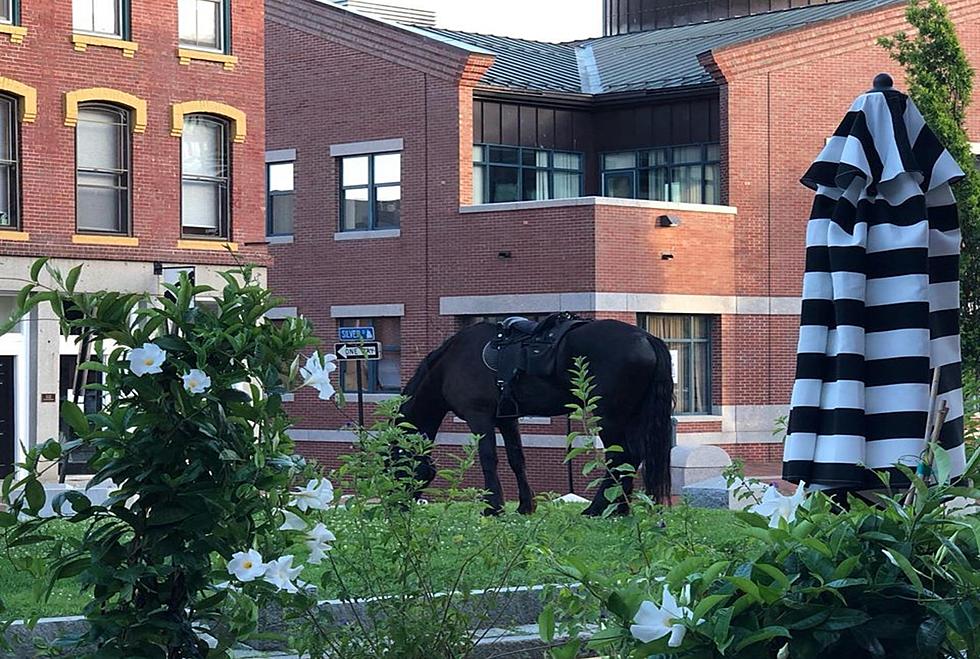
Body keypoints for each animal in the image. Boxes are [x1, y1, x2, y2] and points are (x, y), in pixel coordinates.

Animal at [398, 320, 672, 516]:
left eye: (396, 464)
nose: (398, 505)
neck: (451, 363)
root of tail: (646, 338)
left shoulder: (480, 417)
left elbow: (488, 458)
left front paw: (493, 507)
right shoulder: (507, 419)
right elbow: (517, 459)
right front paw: (525, 506)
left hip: (609, 415)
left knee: (621, 455)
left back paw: (597, 508)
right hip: (631, 415)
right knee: (631, 457)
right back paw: (619, 508)